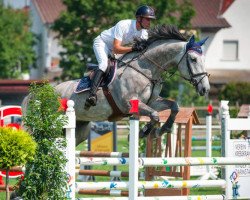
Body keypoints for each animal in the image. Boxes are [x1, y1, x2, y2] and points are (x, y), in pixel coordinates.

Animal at [55, 25, 210, 146]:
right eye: (193, 59)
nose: (205, 88)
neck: (146, 70)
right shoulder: (129, 104)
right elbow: (154, 115)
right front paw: (144, 132)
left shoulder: (152, 102)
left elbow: (174, 106)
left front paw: (162, 130)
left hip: (81, 128)